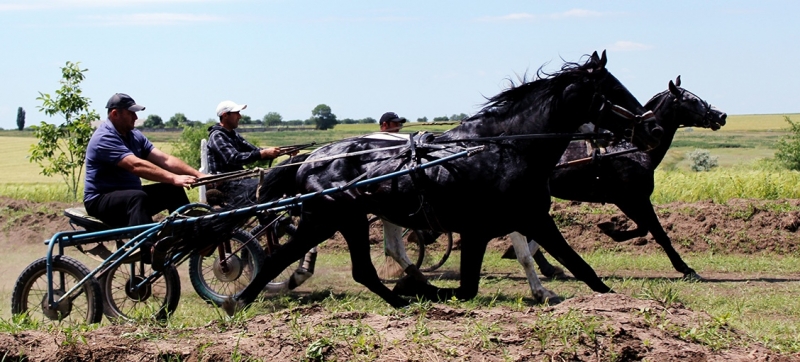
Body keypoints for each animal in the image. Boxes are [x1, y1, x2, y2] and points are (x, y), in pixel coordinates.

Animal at [227, 51, 664, 312]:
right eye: (612, 89)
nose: (653, 127)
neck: (502, 149)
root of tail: (310, 159)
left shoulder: (520, 221)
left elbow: (578, 268)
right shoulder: (497, 226)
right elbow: (480, 283)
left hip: (342, 221)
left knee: (350, 269)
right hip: (330, 219)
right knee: (296, 261)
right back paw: (241, 300)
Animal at [520, 75, 724, 280]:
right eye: (692, 100)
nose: (721, 115)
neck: (629, 149)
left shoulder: (628, 200)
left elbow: (643, 228)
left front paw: (611, 230)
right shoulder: (632, 198)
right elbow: (657, 232)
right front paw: (685, 268)